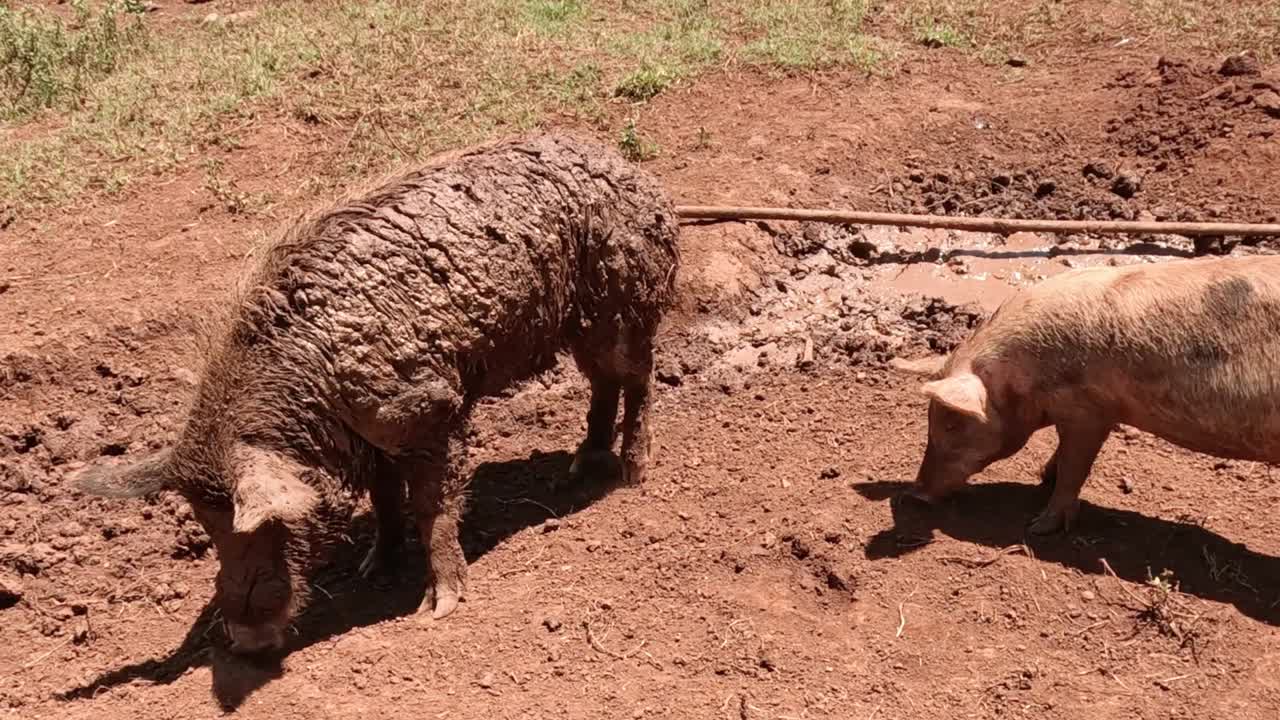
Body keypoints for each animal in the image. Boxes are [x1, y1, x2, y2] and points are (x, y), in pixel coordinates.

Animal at [70, 133, 681, 654]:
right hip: (583, 322)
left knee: (640, 380)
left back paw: (632, 474)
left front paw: (437, 609)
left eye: (262, 522)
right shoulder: (371, 438)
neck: (314, 402)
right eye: (205, 525)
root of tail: (636, 172)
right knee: (603, 383)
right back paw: (578, 470)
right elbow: (387, 499)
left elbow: (434, 508)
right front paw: (373, 568)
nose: (243, 641)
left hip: (626, 300)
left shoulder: (433, 410)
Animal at [891, 255, 1280, 535]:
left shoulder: (1089, 412)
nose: (915, 494)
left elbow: (1074, 465)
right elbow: (1063, 455)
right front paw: (1042, 475)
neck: (1027, 372)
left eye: (952, 425)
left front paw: (1037, 528)